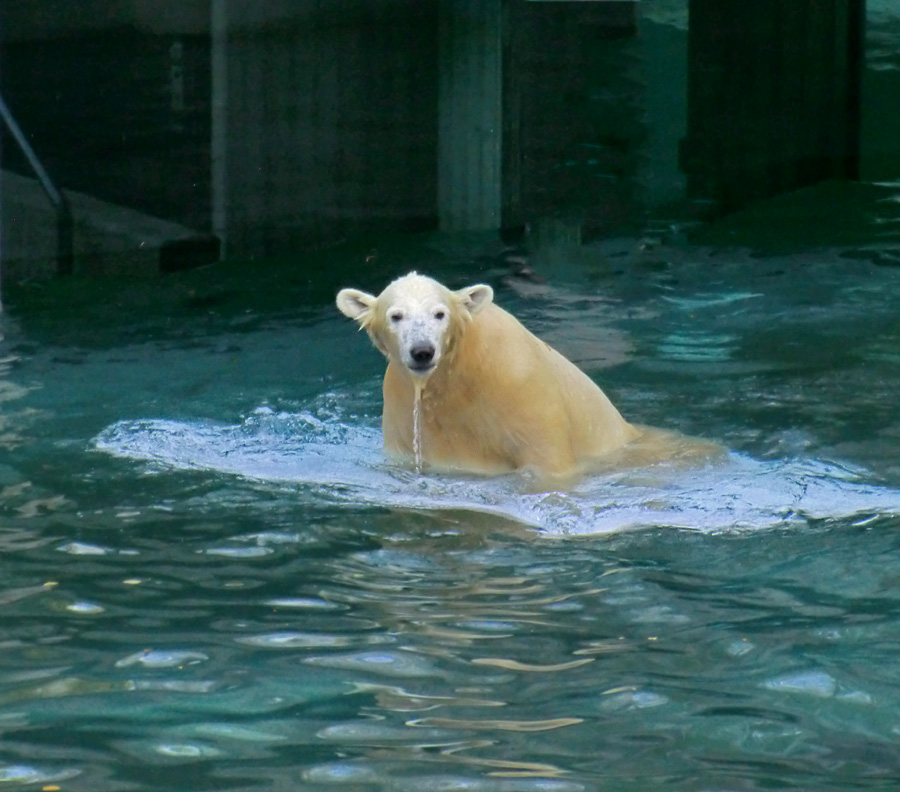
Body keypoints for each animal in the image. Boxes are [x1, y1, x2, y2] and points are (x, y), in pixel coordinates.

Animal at [338, 270, 712, 486]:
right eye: (396, 315)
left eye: (439, 314)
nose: (422, 351)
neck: (457, 374)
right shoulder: (403, 404)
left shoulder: (521, 386)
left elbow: (545, 461)